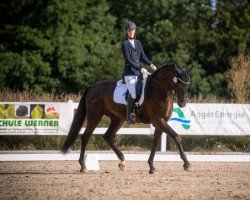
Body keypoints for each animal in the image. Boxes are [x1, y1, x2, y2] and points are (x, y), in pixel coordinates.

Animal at [62, 63, 193, 173]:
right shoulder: (158, 121)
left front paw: (151, 166)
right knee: (85, 137)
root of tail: (93, 86)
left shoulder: (161, 122)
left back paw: (122, 162)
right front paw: (187, 164)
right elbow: (176, 137)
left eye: (188, 84)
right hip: (95, 117)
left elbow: (155, 143)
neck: (159, 91)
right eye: (179, 83)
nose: (182, 103)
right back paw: (83, 167)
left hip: (117, 119)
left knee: (108, 136)